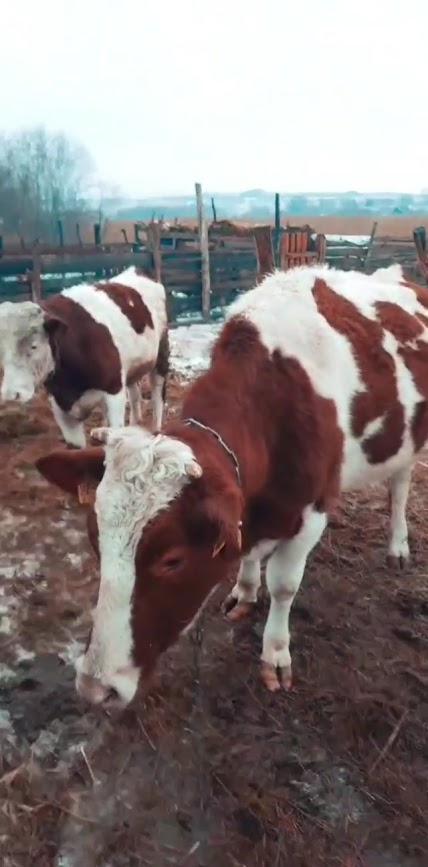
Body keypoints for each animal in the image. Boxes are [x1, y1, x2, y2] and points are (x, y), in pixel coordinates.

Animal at [0, 266, 169, 447]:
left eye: (34, 345)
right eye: (1, 350)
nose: (11, 396)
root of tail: (135, 270)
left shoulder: (114, 389)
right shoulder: (60, 406)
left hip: (161, 354)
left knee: (157, 394)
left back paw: (156, 429)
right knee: (135, 394)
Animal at [35, 262, 428, 709]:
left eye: (172, 559)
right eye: (95, 543)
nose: (95, 687)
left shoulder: (312, 510)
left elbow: (284, 585)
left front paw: (275, 653)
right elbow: (247, 554)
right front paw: (244, 590)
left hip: (410, 440)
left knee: (400, 485)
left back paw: (398, 545)